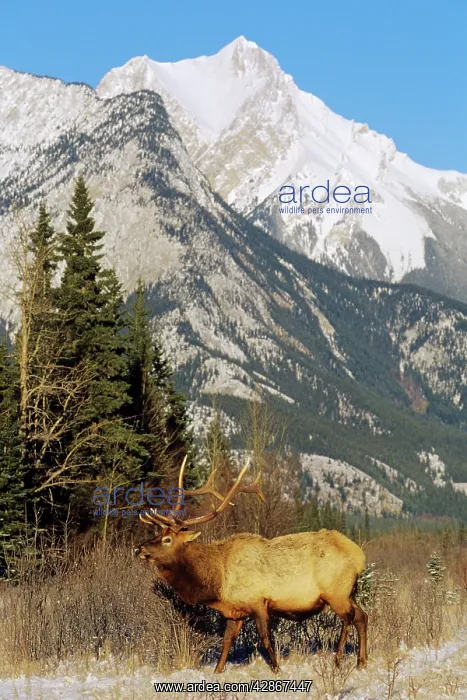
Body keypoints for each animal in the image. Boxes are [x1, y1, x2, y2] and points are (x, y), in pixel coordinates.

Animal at [135, 457, 368, 673]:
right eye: (157, 534)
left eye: (167, 540)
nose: (139, 549)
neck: (217, 582)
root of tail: (359, 556)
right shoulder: (235, 611)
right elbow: (226, 642)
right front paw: (217, 672)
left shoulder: (258, 602)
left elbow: (265, 639)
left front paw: (277, 669)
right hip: (348, 593)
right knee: (362, 616)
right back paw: (361, 662)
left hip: (336, 593)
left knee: (348, 618)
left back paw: (338, 660)